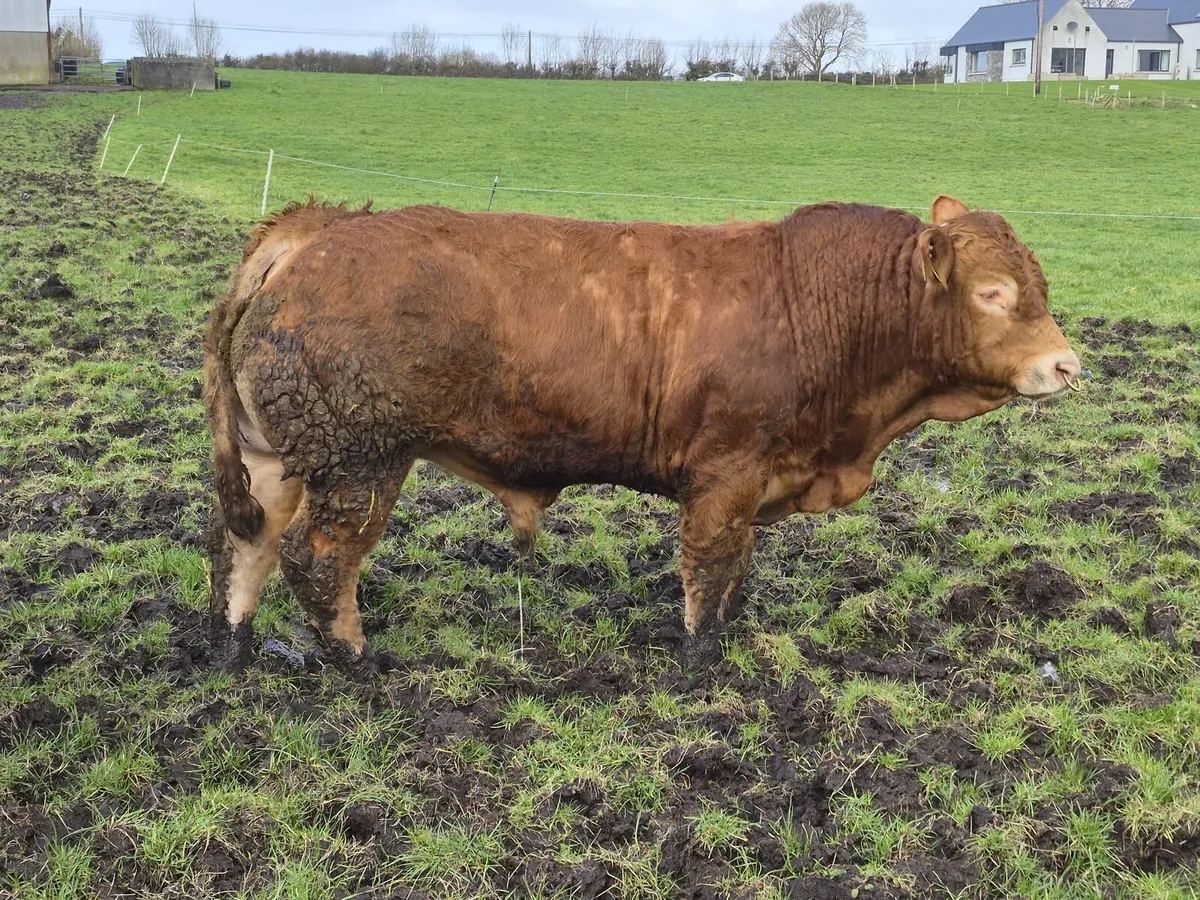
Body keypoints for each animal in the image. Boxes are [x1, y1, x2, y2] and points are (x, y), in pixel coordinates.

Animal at [203, 194, 1081, 679]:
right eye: (994, 293)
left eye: (1039, 284)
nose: (1067, 365)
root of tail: (315, 233)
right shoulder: (725, 474)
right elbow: (710, 566)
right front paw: (700, 661)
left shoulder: (755, 479)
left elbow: (736, 569)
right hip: (361, 460)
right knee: (317, 560)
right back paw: (359, 661)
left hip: (281, 458)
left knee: (247, 545)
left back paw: (235, 647)